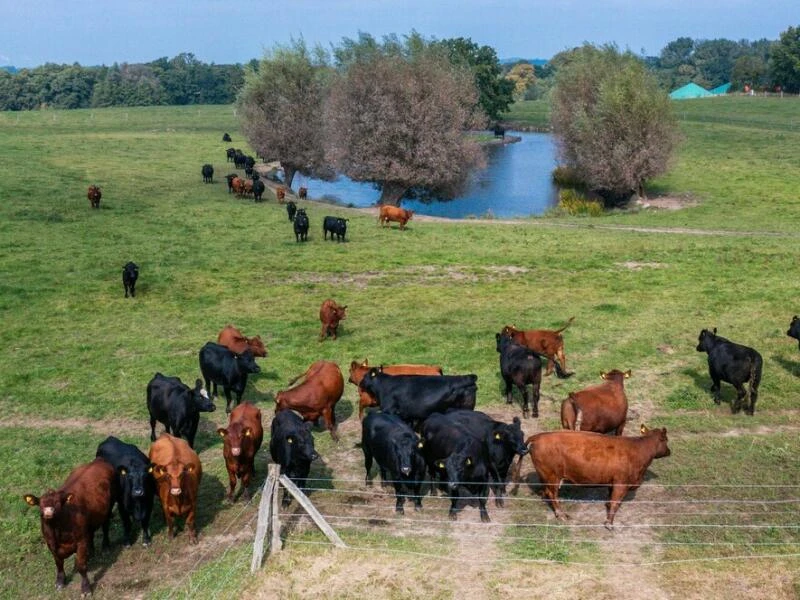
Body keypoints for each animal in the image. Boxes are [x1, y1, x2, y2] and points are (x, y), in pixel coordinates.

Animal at [23, 460, 115, 596]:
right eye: (41, 504)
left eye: (57, 503)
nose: (48, 512)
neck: (57, 531)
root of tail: (98, 461)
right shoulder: (51, 544)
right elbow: (58, 563)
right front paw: (60, 581)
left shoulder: (81, 541)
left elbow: (81, 566)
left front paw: (86, 588)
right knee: (91, 533)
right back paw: (91, 552)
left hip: (109, 507)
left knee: (105, 526)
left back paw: (106, 546)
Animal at [528, 424, 672, 528]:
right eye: (666, 440)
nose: (669, 451)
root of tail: (538, 436)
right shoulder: (621, 483)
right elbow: (615, 502)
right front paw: (609, 523)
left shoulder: (612, 481)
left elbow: (610, 497)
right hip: (552, 476)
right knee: (553, 494)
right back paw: (561, 515)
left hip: (546, 476)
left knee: (547, 491)